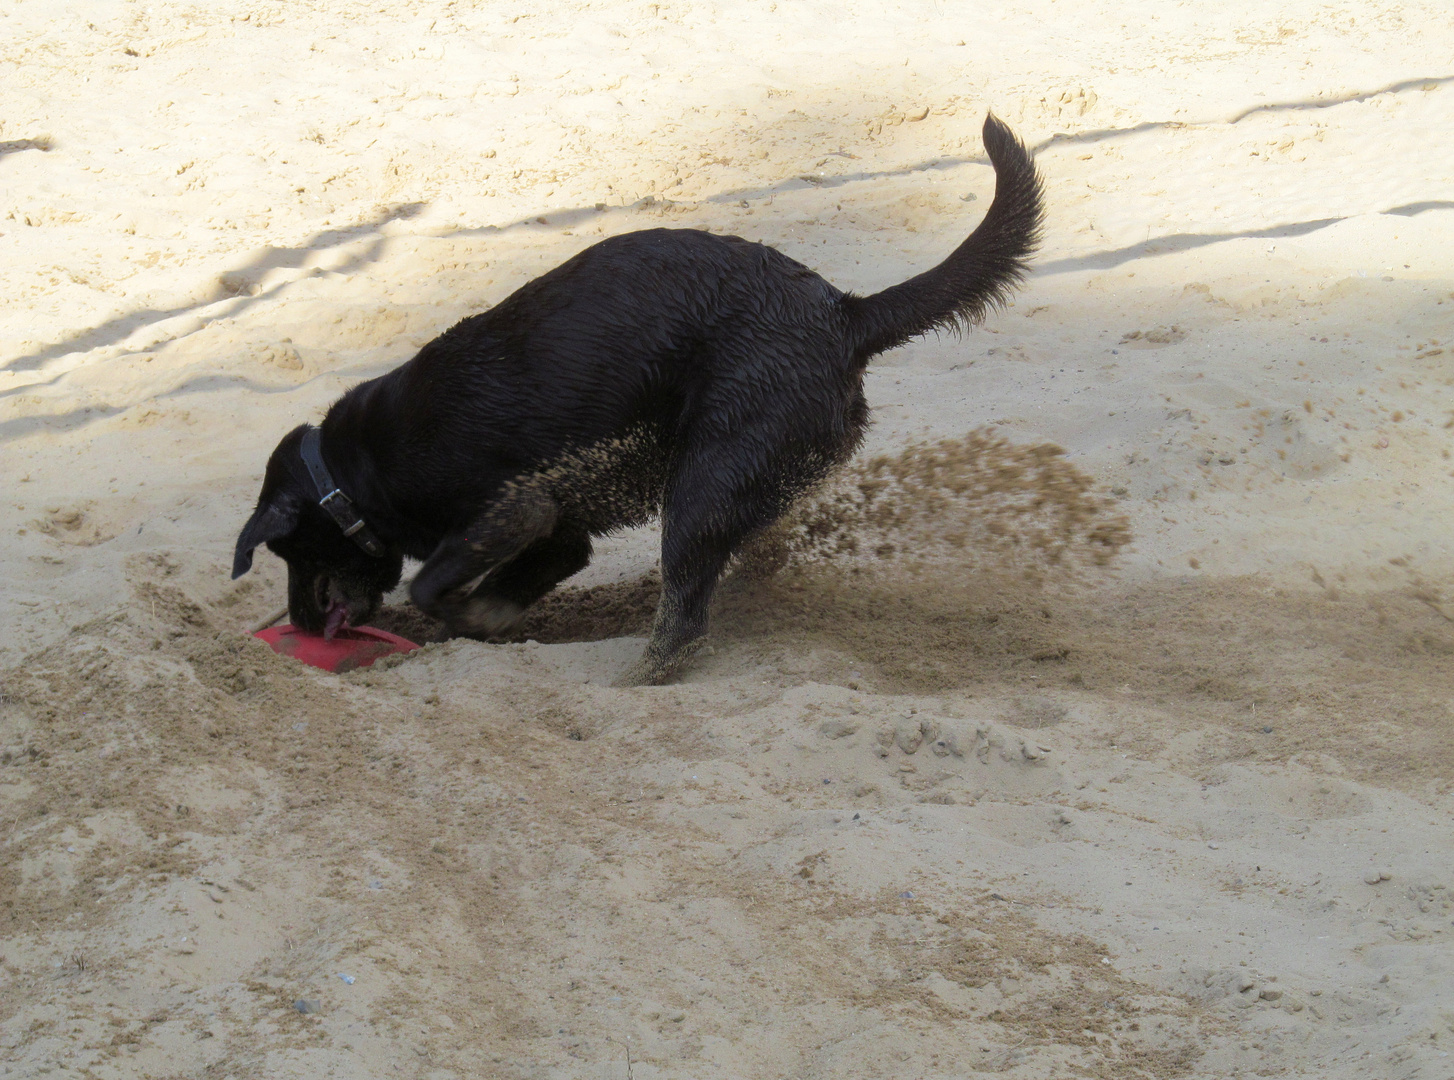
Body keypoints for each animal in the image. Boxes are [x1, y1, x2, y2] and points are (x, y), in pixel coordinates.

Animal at [232, 111, 1041, 683]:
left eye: (287, 551)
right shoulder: (559, 534)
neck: (354, 471)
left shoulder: (514, 510)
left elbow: (432, 587)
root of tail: (847, 313)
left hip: (702, 489)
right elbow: (505, 587)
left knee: (681, 622)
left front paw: (464, 616)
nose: (298, 623)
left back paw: (638, 677)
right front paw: (488, 617)